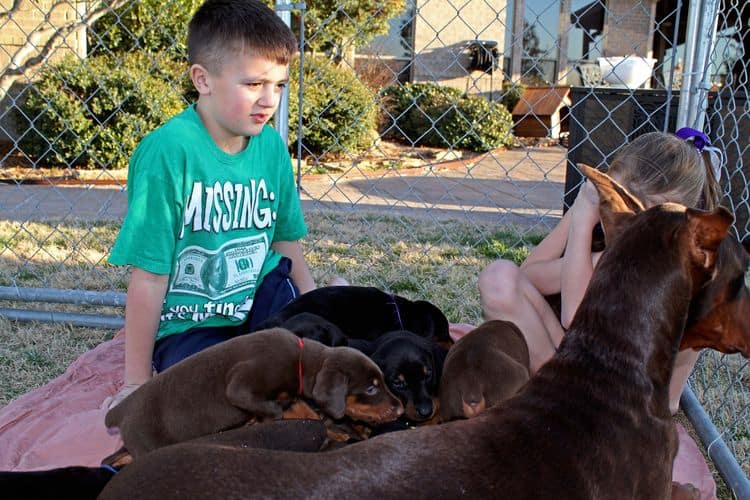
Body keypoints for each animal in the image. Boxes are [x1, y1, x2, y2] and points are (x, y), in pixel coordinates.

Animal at [104, 328, 406, 458]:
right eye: (370, 388)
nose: (401, 408)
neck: (301, 361)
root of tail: (120, 411)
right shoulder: (241, 385)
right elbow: (273, 409)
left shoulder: (292, 398)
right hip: (148, 443)